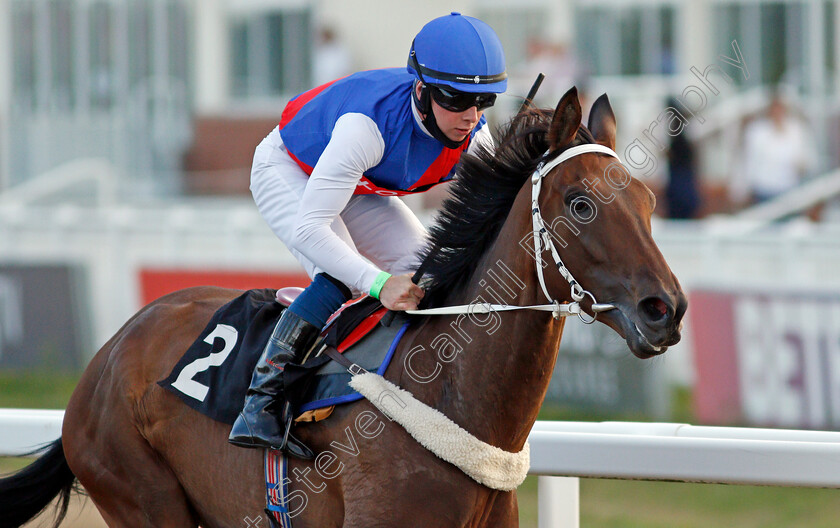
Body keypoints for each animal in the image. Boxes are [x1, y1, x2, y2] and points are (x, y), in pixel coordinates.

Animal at [0, 86, 684, 528]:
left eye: (650, 201)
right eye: (580, 204)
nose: (666, 310)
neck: (449, 396)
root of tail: (111, 351)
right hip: (138, 493)